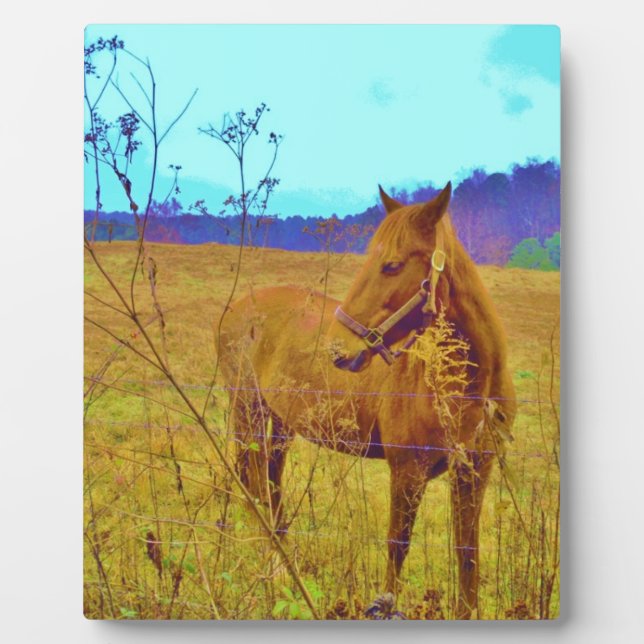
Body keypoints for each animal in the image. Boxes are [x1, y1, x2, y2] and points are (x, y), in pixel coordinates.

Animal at [218, 182, 516, 619]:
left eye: (391, 265)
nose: (338, 350)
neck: (466, 386)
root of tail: (237, 308)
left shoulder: (475, 471)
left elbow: (467, 553)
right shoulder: (407, 470)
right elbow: (397, 546)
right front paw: (385, 605)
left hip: (280, 425)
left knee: (271, 489)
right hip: (248, 414)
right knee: (252, 484)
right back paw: (273, 569)